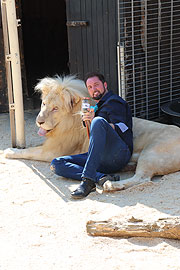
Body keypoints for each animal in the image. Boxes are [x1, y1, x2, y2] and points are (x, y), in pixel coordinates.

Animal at [3, 75, 180, 191]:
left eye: (55, 108)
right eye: (44, 104)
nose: (39, 121)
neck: (66, 125)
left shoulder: (53, 151)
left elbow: (29, 152)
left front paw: (9, 151)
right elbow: (33, 146)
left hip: (150, 154)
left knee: (142, 178)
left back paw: (112, 184)